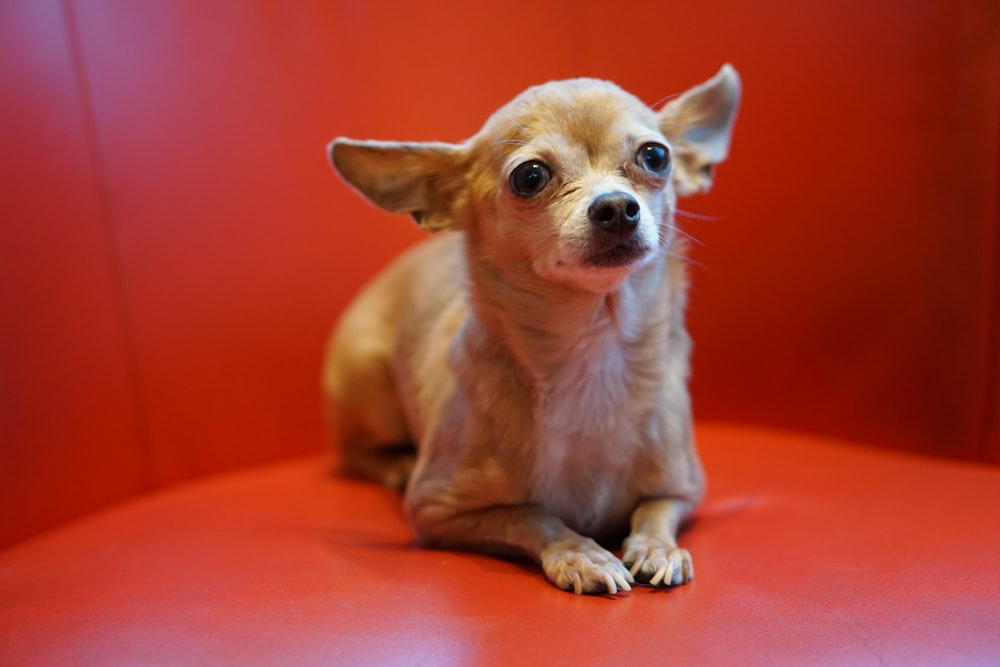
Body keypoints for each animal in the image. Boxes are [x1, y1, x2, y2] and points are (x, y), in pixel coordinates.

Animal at [324, 66, 740, 596]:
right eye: (530, 176)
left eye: (655, 156)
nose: (617, 207)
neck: (592, 351)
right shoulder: (438, 514)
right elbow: (532, 515)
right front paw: (582, 554)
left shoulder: (683, 490)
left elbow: (654, 509)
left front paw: (656, 548)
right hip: (367, 384)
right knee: (357, 451)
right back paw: (395, 463)